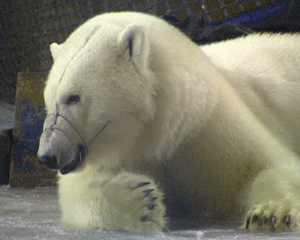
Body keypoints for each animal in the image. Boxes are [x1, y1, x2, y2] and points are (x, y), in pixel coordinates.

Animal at [37, 10, 300, 231]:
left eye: (73, 97)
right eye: (48, 100)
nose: (47, 155)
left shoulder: (207, 120)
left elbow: (267, 162)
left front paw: (270, 213)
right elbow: (77, 192)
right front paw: (143, 201)